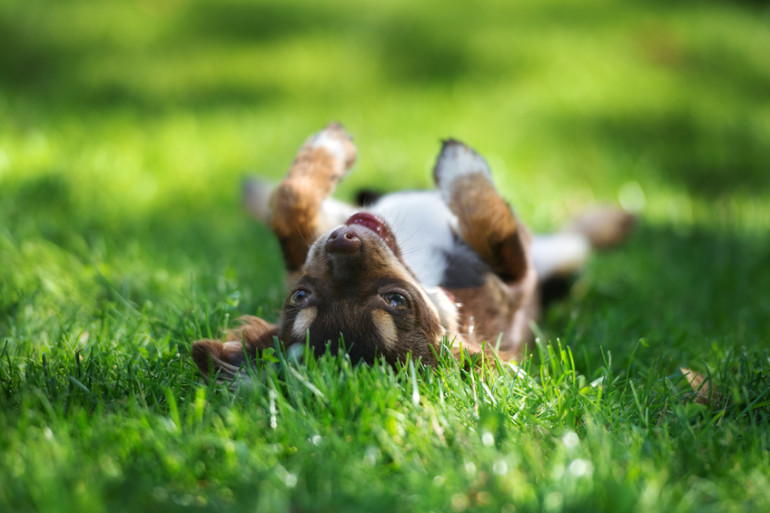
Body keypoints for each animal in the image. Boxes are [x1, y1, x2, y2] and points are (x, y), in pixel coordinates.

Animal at [190, 123, 632, 380]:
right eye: (396, 301)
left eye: (299, 294)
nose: (341, 240)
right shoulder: (515, 272)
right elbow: (492, 222)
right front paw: (459, 163)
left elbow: (287, 201)